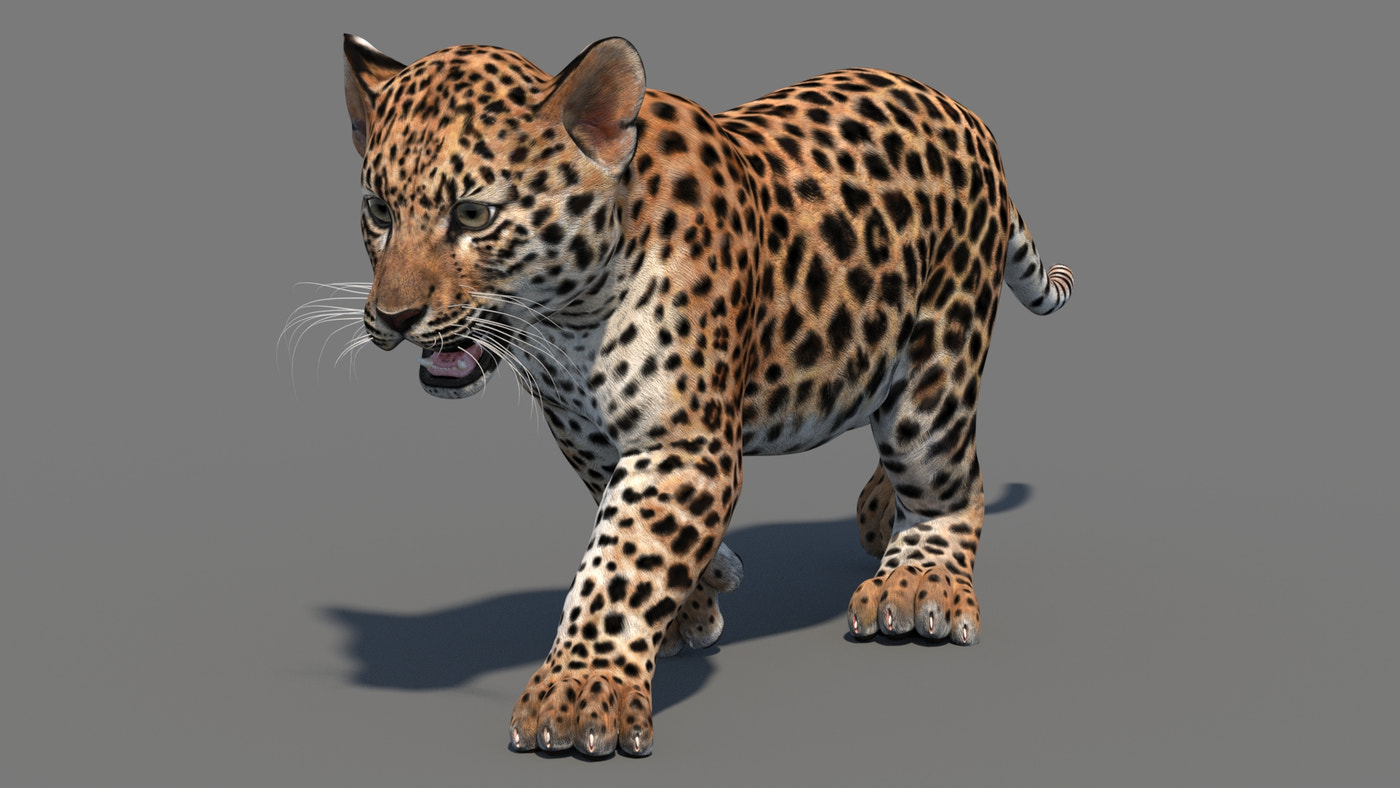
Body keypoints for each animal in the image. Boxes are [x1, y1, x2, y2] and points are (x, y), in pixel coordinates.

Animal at [337, 33, 1073, 757]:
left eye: (473, 214)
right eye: (378, 211)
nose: (393, 318)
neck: (567, 325)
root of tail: (963, 113)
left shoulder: (685, 443)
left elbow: (622, 560)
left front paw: (580, 693)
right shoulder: (587, 433)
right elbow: (627, 524)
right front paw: (700, 595)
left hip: (935, 367)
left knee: (951, 480)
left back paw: (918, 583)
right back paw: (873, 512)